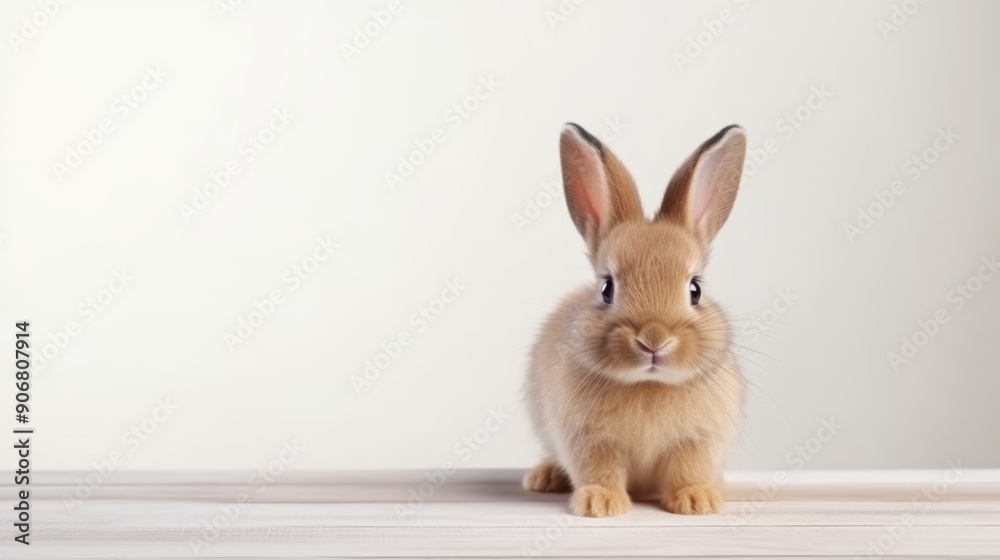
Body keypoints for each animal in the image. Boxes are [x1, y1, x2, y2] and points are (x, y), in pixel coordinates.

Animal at [523, 122, 748, 517]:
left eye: (695, 289)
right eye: (606, 288)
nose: (653, 340)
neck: (648, 384)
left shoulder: (698, 440)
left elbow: (689, 468)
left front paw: (697, 501)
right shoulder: (589, 440)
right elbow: (600, 469)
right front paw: (599, 504)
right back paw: (543, 477)